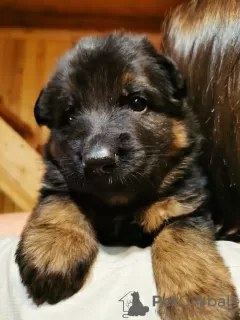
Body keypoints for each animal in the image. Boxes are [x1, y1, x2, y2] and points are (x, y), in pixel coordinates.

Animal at [15, 33, 238, 318]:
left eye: (137, 103)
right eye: (70, 115)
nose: (98, 161)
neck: (121, 204)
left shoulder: (183, 206)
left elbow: (180, 240)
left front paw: (198, 300)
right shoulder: (60, 179)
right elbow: (60, 201)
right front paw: (53, 249)